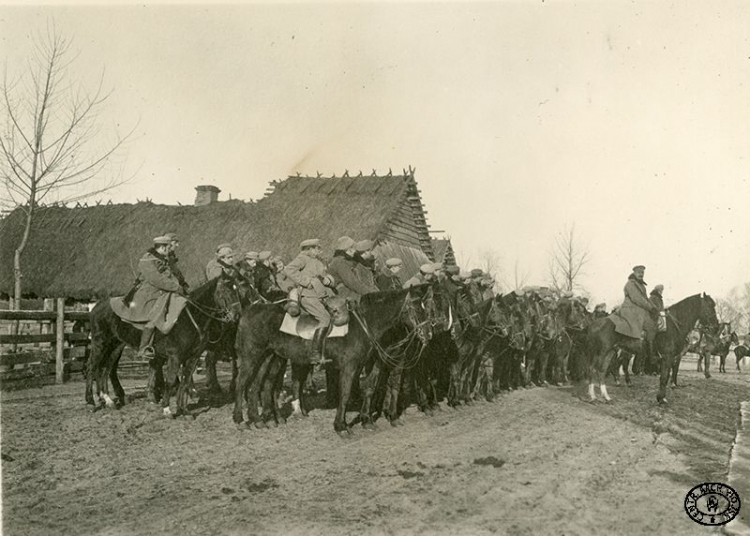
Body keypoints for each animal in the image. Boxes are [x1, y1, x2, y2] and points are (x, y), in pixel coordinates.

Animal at [86, 276, 242, 418]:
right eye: (225, 290)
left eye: (237, 290)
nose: (236, 315)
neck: (191, 317)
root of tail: (97, 306)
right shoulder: (175, 357)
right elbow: (171, 380)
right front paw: (167, 409)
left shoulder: (193, 358)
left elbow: (185, 381)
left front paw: (184, 410)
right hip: (100, 344)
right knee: (92, 368)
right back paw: (91, 402)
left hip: (115, 347)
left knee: (106, 369)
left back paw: (108, 400)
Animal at [234, 286, 434, 434]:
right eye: (416, 308)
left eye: (427, 308)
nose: (428, 334)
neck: (363, 324)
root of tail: (251, 309)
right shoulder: (349, 367)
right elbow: (345, 394)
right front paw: (341, 427)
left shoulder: (368, 364)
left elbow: (370, 388)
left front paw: (367, 421)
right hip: (252, 355)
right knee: (242, 383)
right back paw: (240, 420)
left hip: (270, 357)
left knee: (259, 386)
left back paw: (261, 420)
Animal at [584, 294, 720, 402]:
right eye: (710, 307)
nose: (716, 327)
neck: (674, 326)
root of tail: (596, 323)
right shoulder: (668, 357)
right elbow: (665, 377)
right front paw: (661, 398)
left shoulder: (672, 358)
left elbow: (667, 375)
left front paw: (664, 395)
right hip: (602, 352)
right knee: (593, 369)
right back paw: (593, 396)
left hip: (611, 351)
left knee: (603, 370)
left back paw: (607, 395)